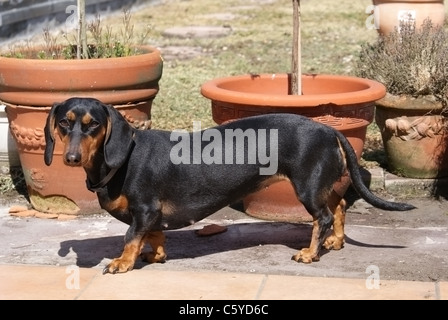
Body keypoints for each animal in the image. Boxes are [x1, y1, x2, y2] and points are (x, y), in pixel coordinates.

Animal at [43, 96, 414, 274]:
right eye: (64, 123)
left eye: (93, 125)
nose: (71, 158)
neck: (123, 159)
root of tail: (329, 129)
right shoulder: (152, 215)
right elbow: (154, 235)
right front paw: (156, 255)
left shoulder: (144, 209)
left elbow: (131, 236)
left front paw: (123, 262)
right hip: (319, 184)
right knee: (338, 206)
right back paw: (335, 241)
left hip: (307, 187)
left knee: (322, 217)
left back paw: (310, 253)